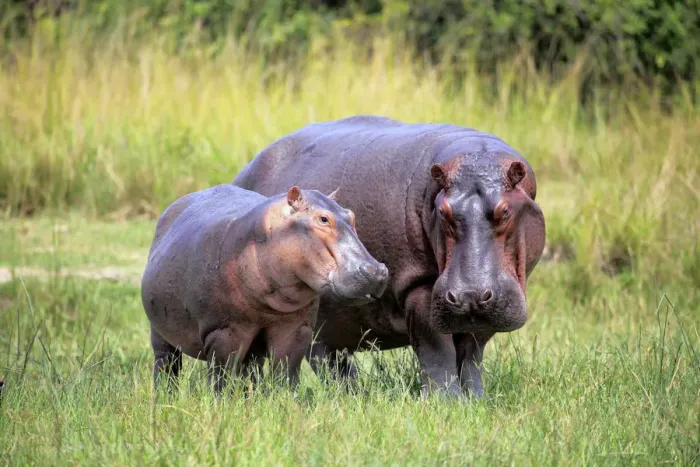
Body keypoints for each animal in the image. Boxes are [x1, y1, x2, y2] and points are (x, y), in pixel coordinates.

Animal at [140, 184, 389, 392]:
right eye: (323, 219)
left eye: (352, 215)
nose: (376, 271)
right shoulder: (223, 331)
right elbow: (220, 376)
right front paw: (220, 404)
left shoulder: (296, 329)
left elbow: (286, 373)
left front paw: (287, 402)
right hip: (160, 333)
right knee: (167, 365)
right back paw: (165, 397)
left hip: (254, 346)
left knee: (251, 371)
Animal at [233, 115, 546, 397]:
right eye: (443, 211)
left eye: (505, 210)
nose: (468, 295)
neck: (475, 156)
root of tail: (243, 172)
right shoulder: (419, 286)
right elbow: (437, 351)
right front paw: (446, 403)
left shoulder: (488, 307)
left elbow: (471, 356)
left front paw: (478, 401)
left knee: (332, 362)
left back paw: (352, 397)